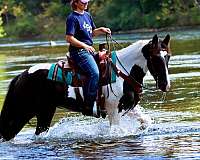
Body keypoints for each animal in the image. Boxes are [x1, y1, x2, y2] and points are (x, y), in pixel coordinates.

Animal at [0, 34, 171, 141]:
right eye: (156, 57)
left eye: (168, 56)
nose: (166, 85)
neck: (124, 71)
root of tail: (21, 76)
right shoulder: (113, 109)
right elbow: (117, 131)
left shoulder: (125, 106)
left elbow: (145, 121)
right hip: (27, 113)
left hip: (42, 112)